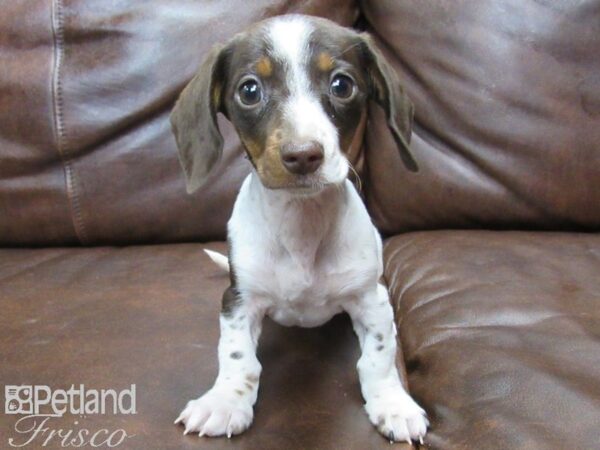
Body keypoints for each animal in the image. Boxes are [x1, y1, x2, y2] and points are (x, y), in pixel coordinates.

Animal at [171, 13, 428, 442]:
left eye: (342, 85)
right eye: (249, 90)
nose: (303, 155)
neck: (302, 226)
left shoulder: (372, 299)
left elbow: (378, 357)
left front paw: (392, 404)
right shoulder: (238, 300)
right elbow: (238, 358)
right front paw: (224, 401)